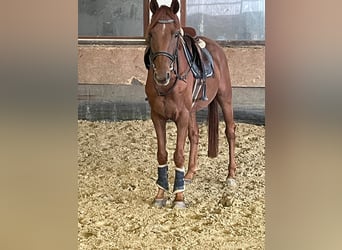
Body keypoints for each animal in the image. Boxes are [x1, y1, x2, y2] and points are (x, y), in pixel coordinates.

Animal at [144, 0, 235, 207]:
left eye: (175, 34)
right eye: (151, 33)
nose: (162, 75)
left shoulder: (182, 116)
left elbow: (178, 154)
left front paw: (179, 197)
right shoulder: (157, 116)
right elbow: (162, 154)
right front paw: (160, 195)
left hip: (225, 99)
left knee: (230, 132)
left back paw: (231, 175)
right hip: (193, 110)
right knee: (195, 135)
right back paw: (190, 173)